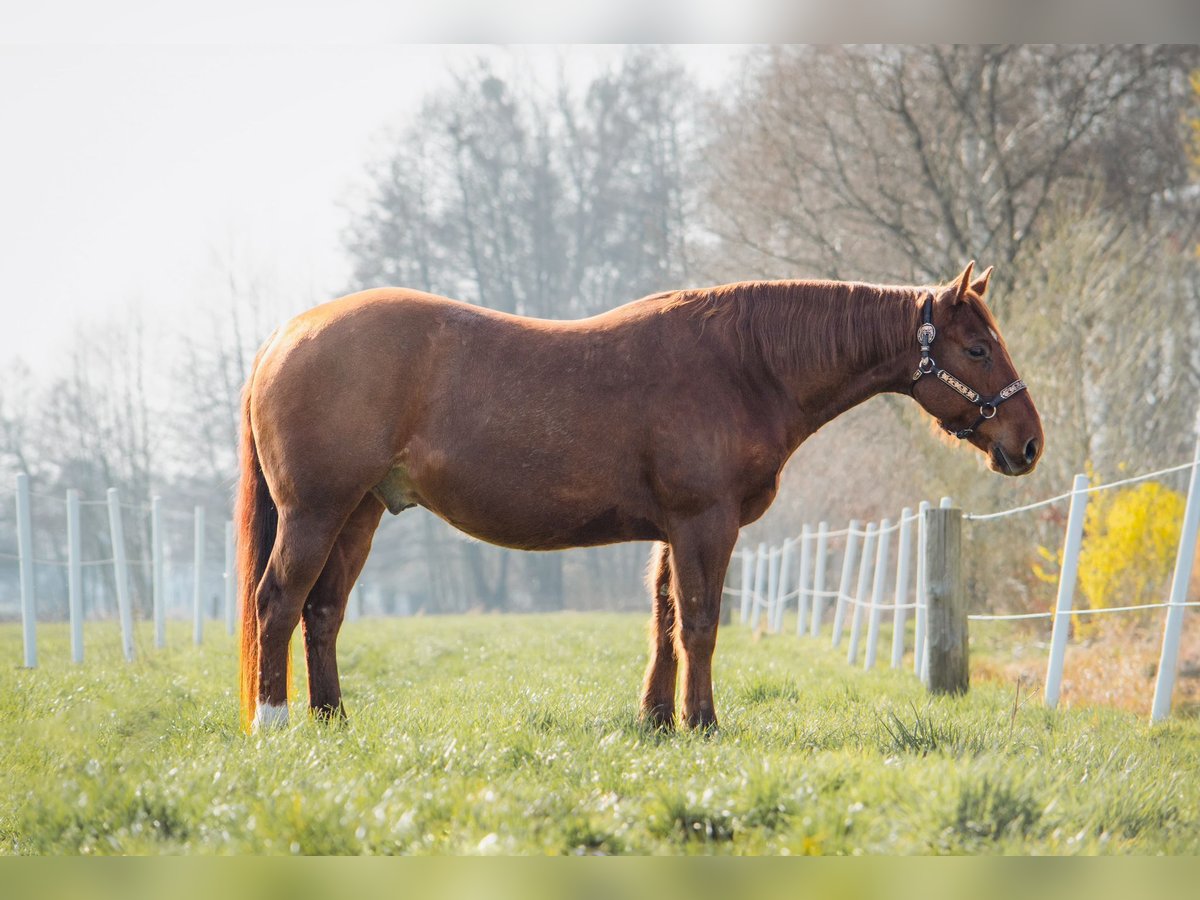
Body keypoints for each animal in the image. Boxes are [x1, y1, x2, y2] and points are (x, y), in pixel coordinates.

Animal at [236, 260, 1041, 734]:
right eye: (977, 349)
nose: (1029, 443)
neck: (744, 366)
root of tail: (284, 336)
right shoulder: (704, 523)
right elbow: (700, 623)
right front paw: (702, 722)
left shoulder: (671, 530)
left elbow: (663, 621)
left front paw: (657, 718)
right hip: (316, 512)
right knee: (277, 602)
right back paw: (275, 723)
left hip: (360, 513)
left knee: (322, 611)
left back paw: (332, 720)